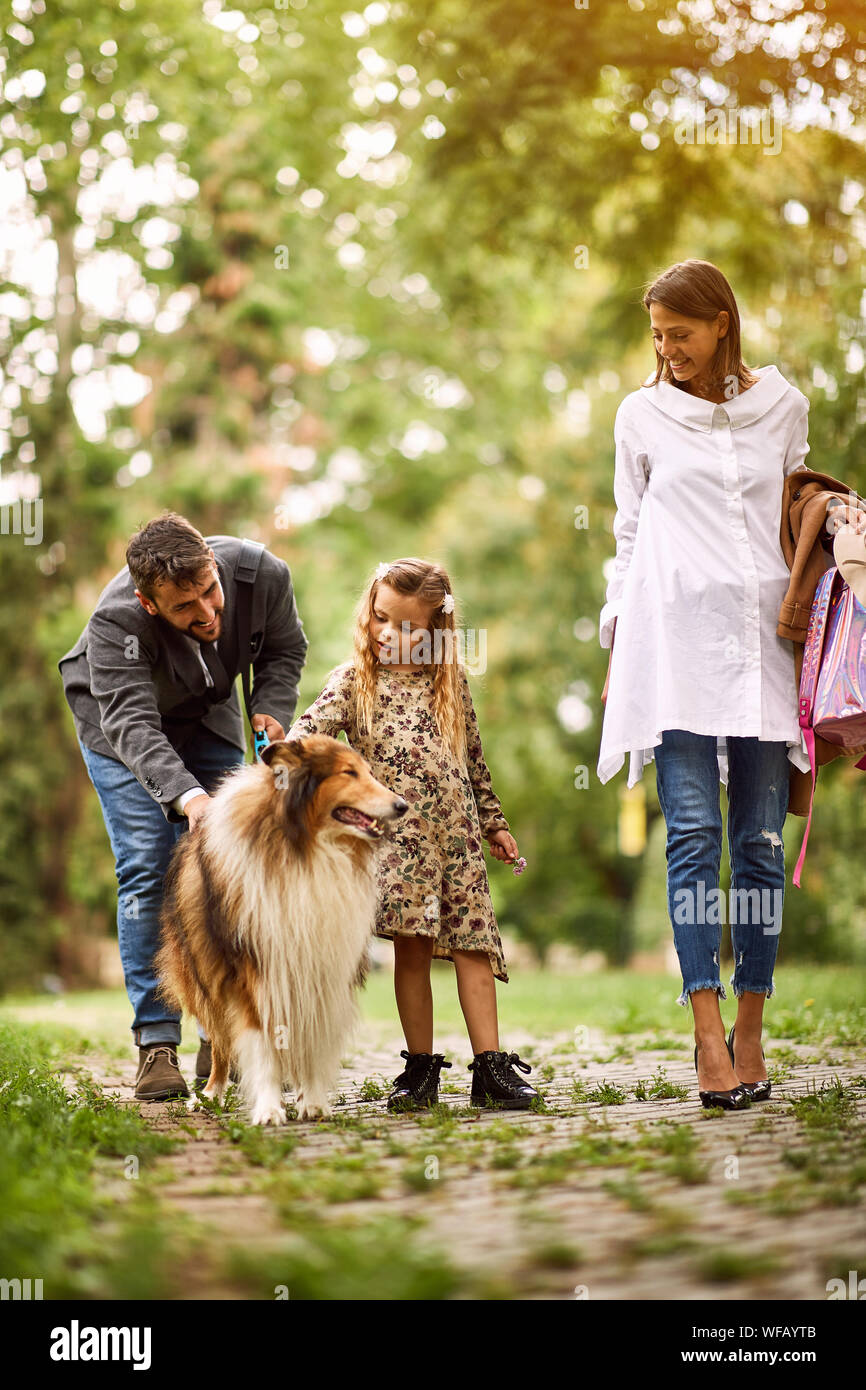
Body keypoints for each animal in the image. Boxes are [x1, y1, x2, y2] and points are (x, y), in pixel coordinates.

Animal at [154, 733, 405, 1123]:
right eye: (348, 773)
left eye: (367, 772)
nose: (402, 805)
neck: (305, 846)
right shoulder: (254, 969)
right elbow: (260, 1043)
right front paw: (269, 1109)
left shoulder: (321, 967)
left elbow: (311, 1040)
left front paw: (312, 1101)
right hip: (205, 975)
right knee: (220, 1043)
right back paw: (210, 1093)